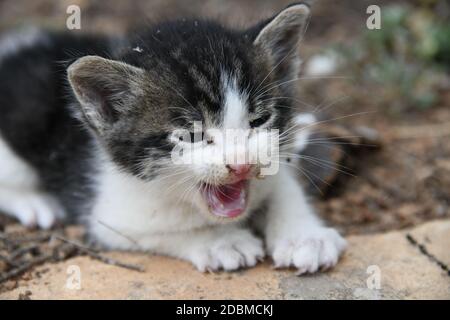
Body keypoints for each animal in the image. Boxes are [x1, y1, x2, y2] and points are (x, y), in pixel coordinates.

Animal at [0, 3, 346, 272]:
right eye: (191, 136)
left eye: (260, 120)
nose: (242, 165)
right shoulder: (108, 213)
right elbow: (162, 230)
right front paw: (221, 242)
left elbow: (284, 188)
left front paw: (305, 236)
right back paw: (35, 203)